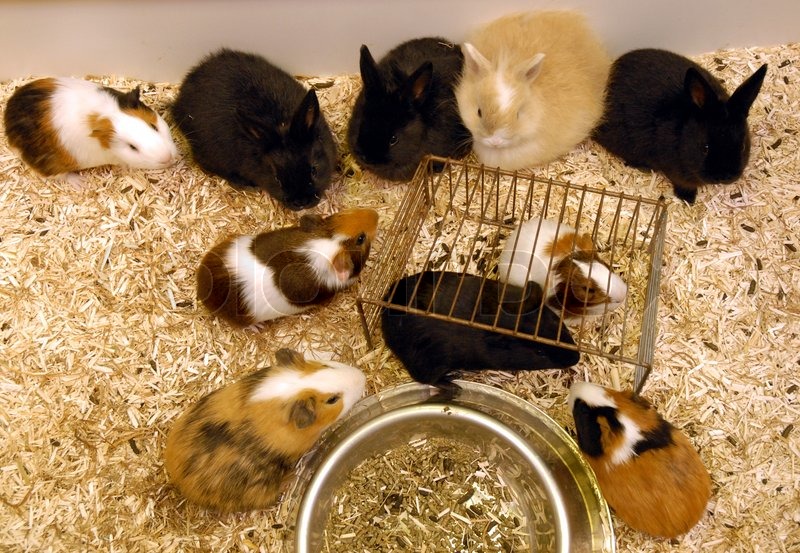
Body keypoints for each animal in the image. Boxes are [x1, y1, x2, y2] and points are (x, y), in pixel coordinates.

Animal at [381, 270, 580, 391]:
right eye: (539, 352)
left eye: (557, 321)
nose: (576, 358)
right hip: (428, 365)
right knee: (426, 379)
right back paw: (455, 382)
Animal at [592, 48, 768, 204]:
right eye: (705, 148)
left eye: (743, 146)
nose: (725, 176)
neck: (684, 136)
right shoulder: (677, 173)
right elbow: (683, 184)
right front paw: (688, 198)